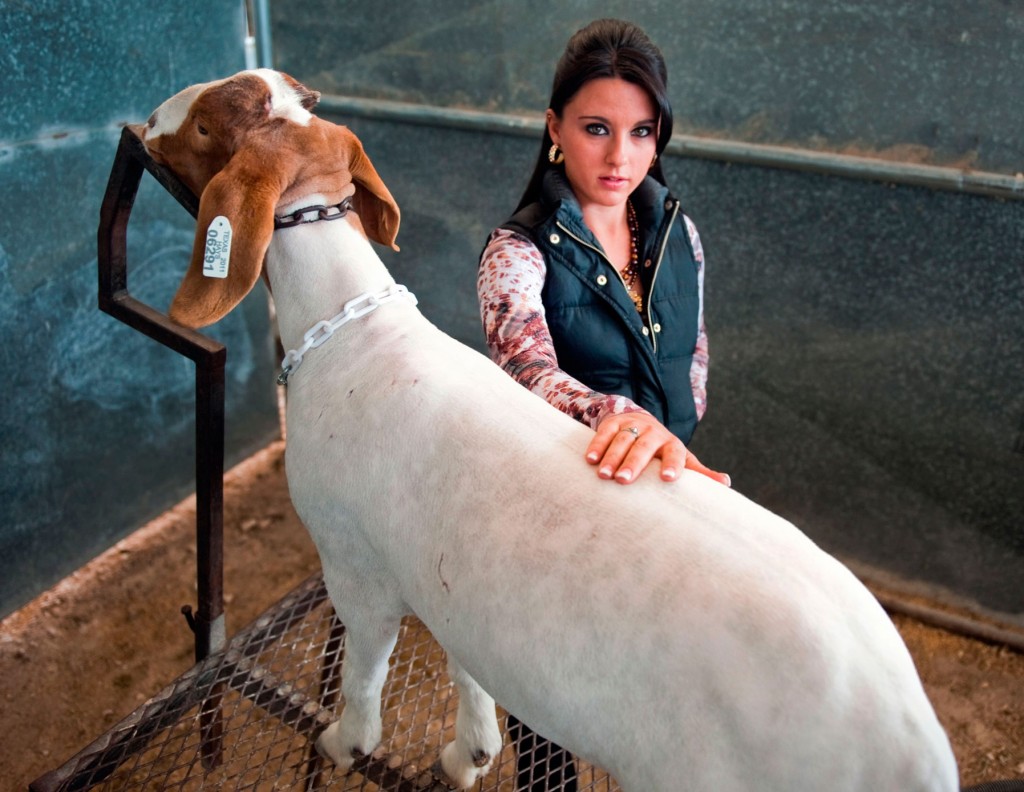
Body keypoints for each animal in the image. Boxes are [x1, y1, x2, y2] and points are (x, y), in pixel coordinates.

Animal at [134, 69, 959, 791]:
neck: (350, 331)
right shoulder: (443, 577)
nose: (146, 119)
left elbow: (365, 683)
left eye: (206, 124)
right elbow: (465, 661)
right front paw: (471, 751)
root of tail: (907, 742)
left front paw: (342, 742)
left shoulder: (353, 563)